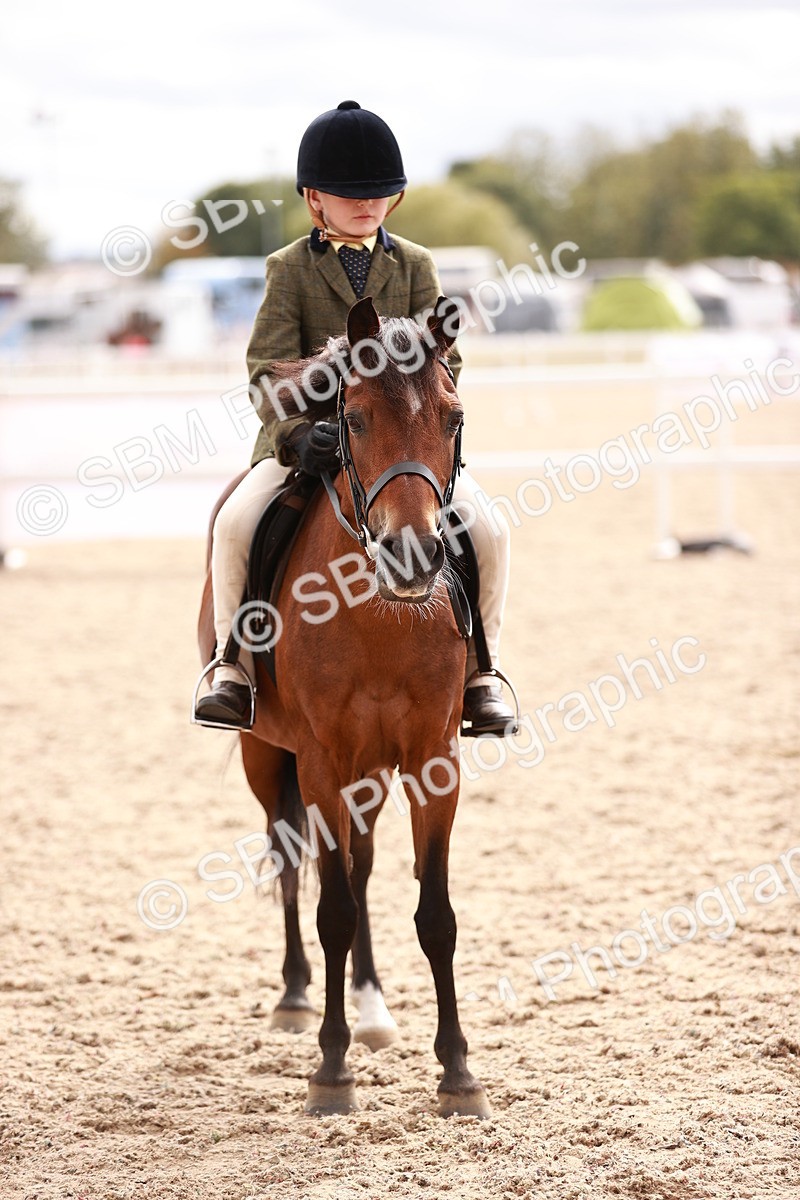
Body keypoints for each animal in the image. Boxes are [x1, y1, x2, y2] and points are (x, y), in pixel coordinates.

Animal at [197, 296, 490, 1118]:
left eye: (454, 418)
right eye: (350, 419)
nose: (412, 556)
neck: (379, 618)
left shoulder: (432, 763)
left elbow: (435, 916)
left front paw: (457, 1073)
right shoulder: (321, 762)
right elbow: (329, 910)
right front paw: (331, 1070)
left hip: (372, 773)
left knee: (358, 868)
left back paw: (371, 1006)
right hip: (269, 755)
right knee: (293, 857)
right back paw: (299, 999)